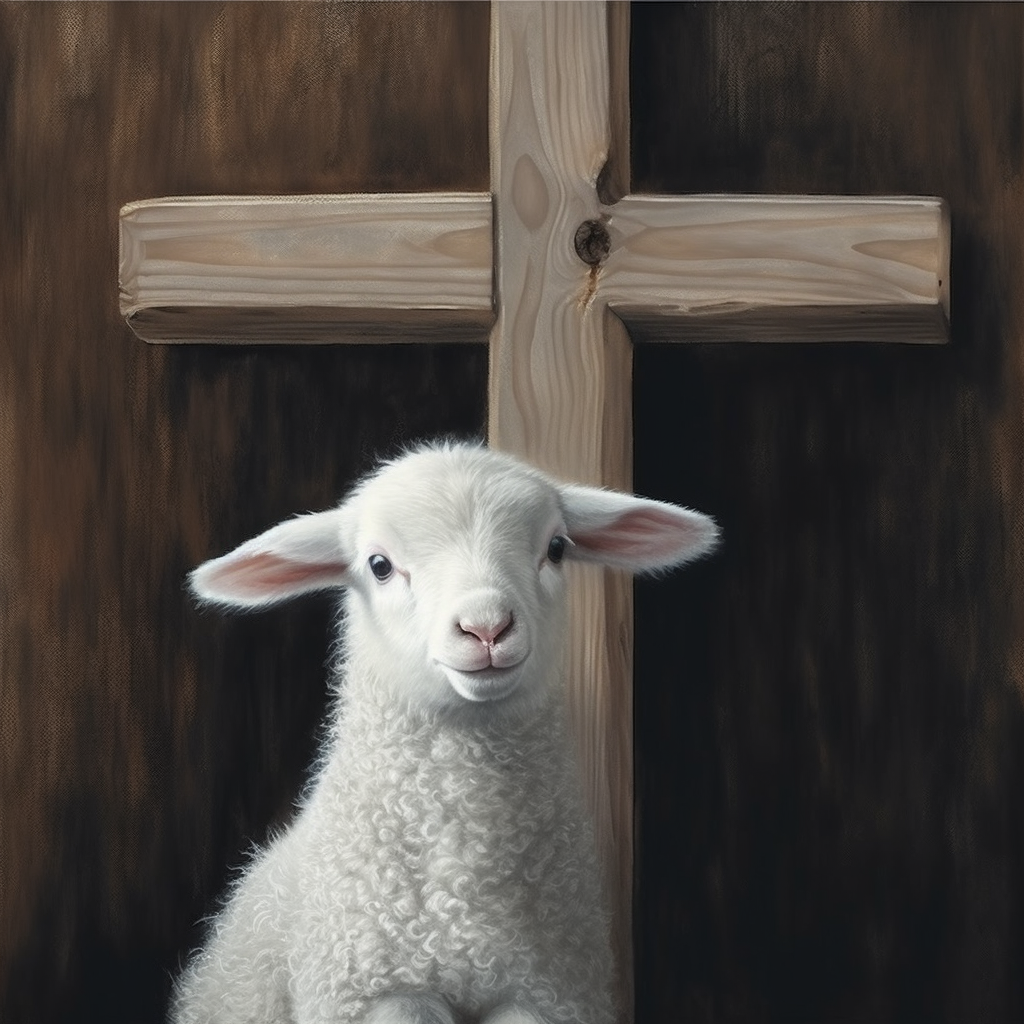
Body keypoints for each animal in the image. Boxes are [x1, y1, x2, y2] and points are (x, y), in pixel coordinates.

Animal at [173, 440, 718, 1024]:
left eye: (556, 548)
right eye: (380, 565)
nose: (486, 627)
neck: (464, 896)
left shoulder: (545, 993)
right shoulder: (377, 990)